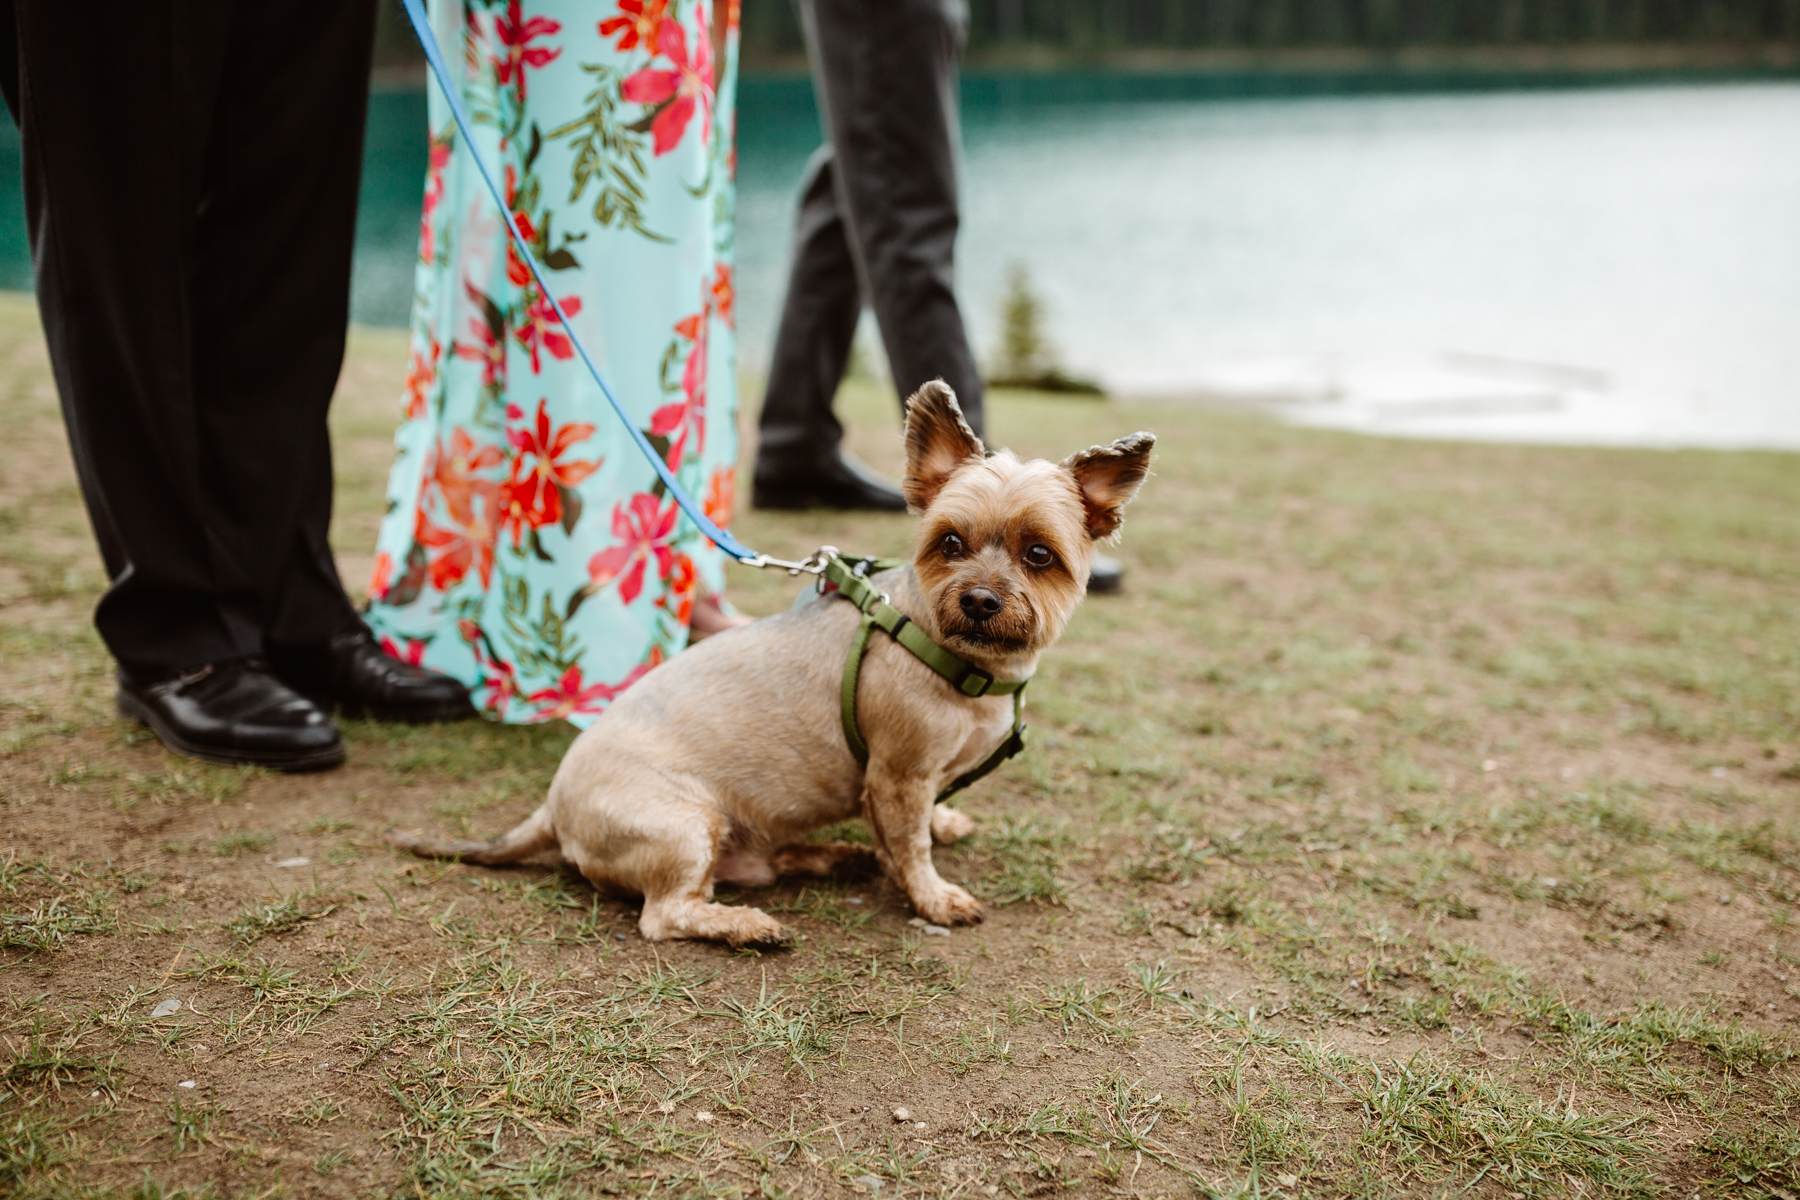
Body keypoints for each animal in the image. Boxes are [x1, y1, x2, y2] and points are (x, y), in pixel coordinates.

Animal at [390, 385, 1152, 949]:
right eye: (951, 543)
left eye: (1039, 554)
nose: (981, 599)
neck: (949, 650)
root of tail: (550, 807)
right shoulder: (898, 776)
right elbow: (910, 846)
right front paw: (933, 896)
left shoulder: (914, 780)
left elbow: (921, 824)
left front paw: (940, 827)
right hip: (684, 825)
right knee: (665, 915)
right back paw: (747, 926)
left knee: (761, 865)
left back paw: (834, 857)